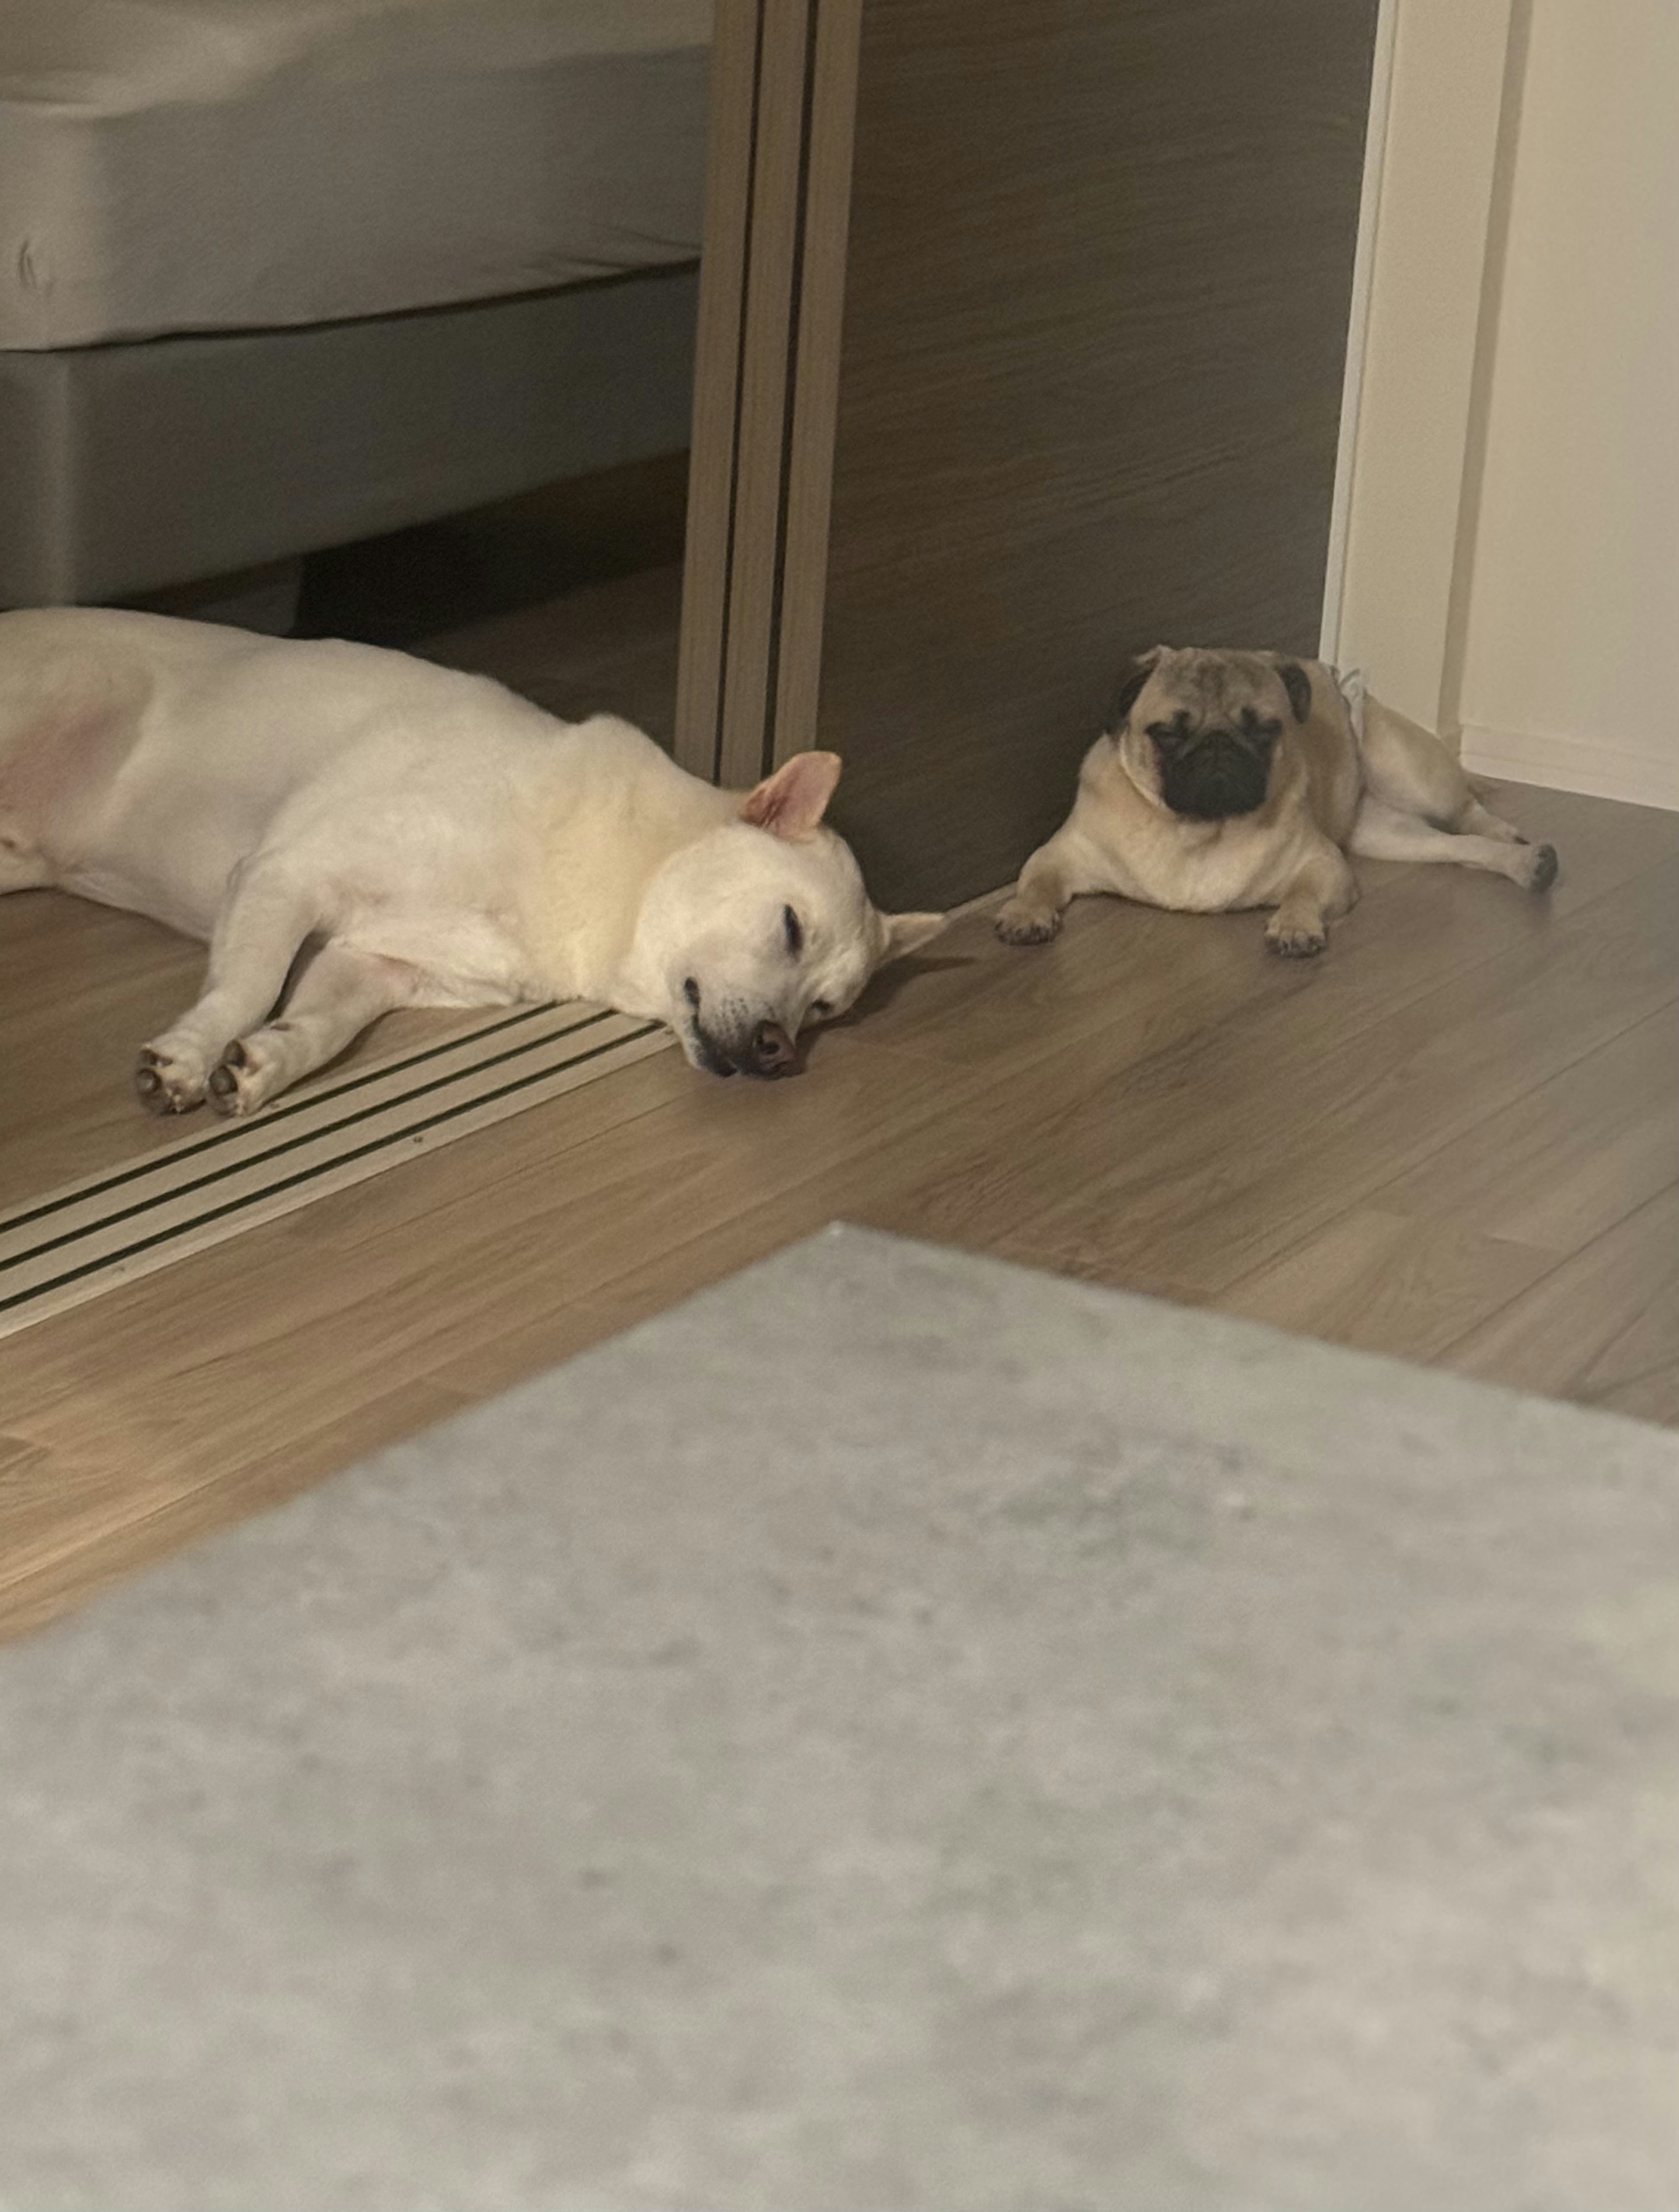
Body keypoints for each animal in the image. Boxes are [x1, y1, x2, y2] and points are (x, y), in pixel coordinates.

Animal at [0, 606, 947, 1115]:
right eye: (789, 926)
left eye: (824, 1010)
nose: (780, 1051)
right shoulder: (285, 873)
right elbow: (245, 986)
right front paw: (191, 1058)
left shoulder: (374, 963)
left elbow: (319, 1023)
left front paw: (264, 1064)